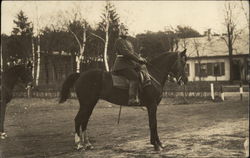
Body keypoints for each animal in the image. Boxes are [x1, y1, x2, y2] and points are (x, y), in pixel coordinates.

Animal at [59, 49, 188, 151]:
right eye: (182, 62)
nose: (185, 80)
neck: (152, 75)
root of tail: (80, 75)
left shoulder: (152, 106)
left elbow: (153, 124)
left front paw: (159, 144)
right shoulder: (152, 106)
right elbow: (153, 124)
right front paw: (156, 145)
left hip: (90, 104)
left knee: (84, 121)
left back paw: (88, 144)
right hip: (86, 104)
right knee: (78, 120)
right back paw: (79, 145)